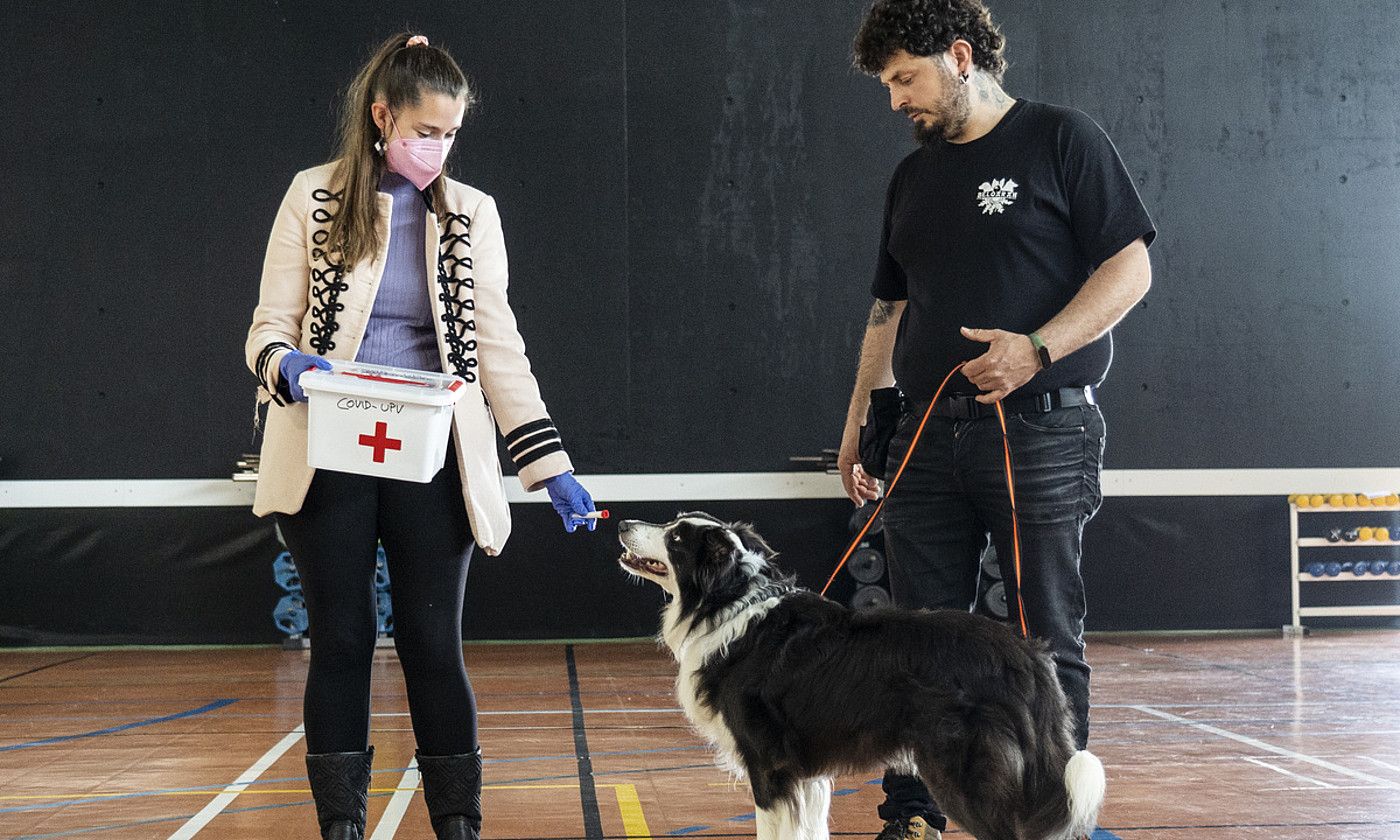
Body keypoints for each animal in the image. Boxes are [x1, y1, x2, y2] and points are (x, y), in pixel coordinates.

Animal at [618, 512, 1108, 840]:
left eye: (675, 537)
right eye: (673, 524)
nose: (622, 521)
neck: (728, 603)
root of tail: (1025, 653)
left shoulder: (768, 764)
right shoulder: (804, 774)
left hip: (964, 768)